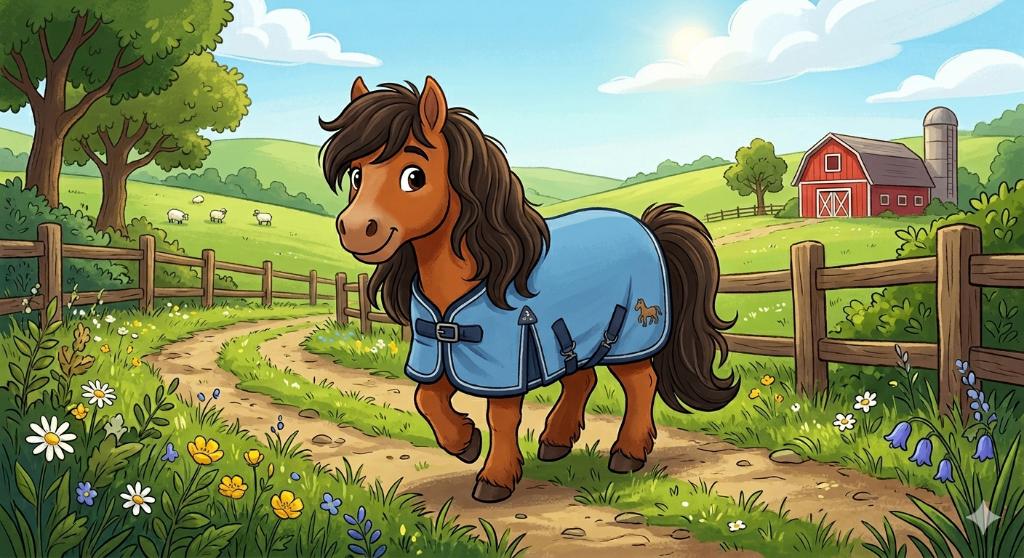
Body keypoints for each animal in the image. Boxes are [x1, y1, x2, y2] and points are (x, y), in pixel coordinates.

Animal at [320, 76, 737, 503]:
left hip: (628, 338)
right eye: (356, 176)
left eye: (414, 176)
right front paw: (465, 442)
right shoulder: (437, 350)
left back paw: (628, 454)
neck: (482, 274)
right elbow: (426, 398)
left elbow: (501, 417)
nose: (356, 228)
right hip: (570, 339)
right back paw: (555, 442)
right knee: (582, 379)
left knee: (641, 383)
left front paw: (495, 479)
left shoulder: (506, 361)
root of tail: (646, 225)